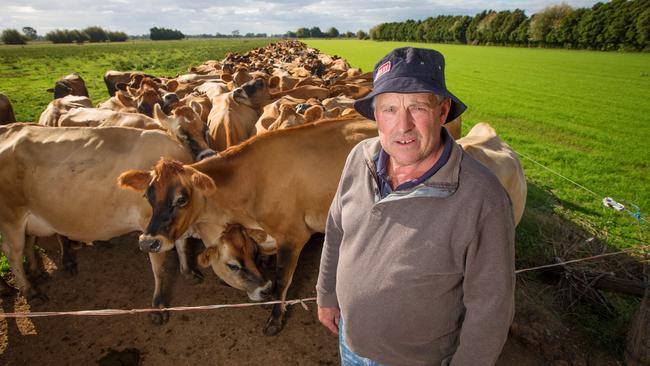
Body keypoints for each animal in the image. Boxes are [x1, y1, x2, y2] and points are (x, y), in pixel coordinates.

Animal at [117, 116, 374, 334]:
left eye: (181, 199)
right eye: (147, 197)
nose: (148, 242)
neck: (250, 183)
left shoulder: (293, 235)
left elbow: (282, 278)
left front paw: (275, 317)